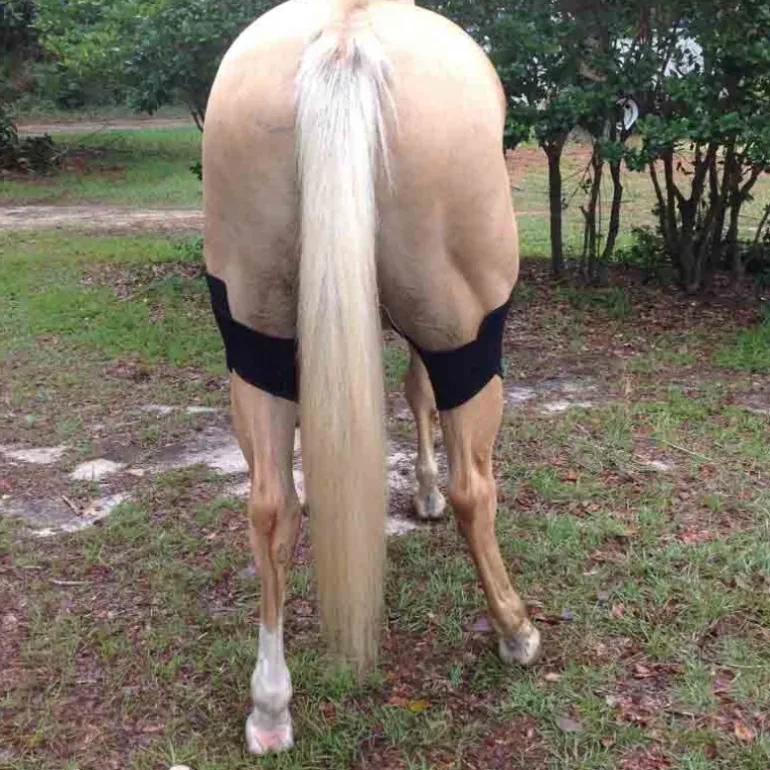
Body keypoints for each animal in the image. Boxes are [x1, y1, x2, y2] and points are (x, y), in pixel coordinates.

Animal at [202, 0, 541, 754]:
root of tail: (344, 35)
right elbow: (422, 395)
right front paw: (426, 493)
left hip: (257, 346)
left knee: (271, 508)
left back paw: (270, 706)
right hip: (466, 333)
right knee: (476, 490)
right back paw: (515, 631)